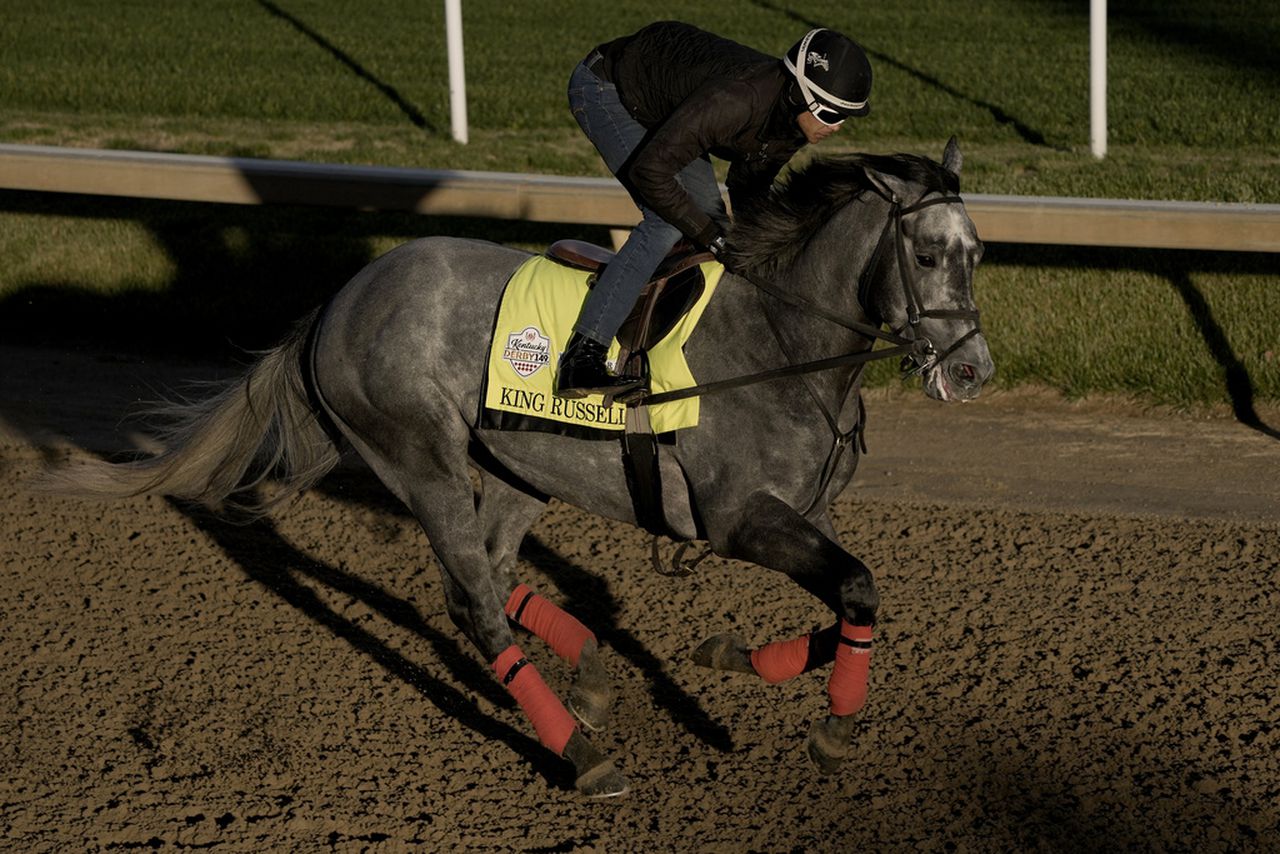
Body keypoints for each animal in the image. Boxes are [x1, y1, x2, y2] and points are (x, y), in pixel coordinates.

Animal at [45, 140, 988, 804]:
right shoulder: (738, 518)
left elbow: (856, 600)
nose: (972, 370)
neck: (783, 347)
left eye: (979, 253)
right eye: (927, 256)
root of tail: (342, 298)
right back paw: (583, 753)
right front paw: (833, 734)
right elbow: (859, 588)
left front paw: (728, 655)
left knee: (493, 575)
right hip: (418, 455)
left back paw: (592, 682)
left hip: (518, 467)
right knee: (471, 598)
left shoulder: (806, 513)